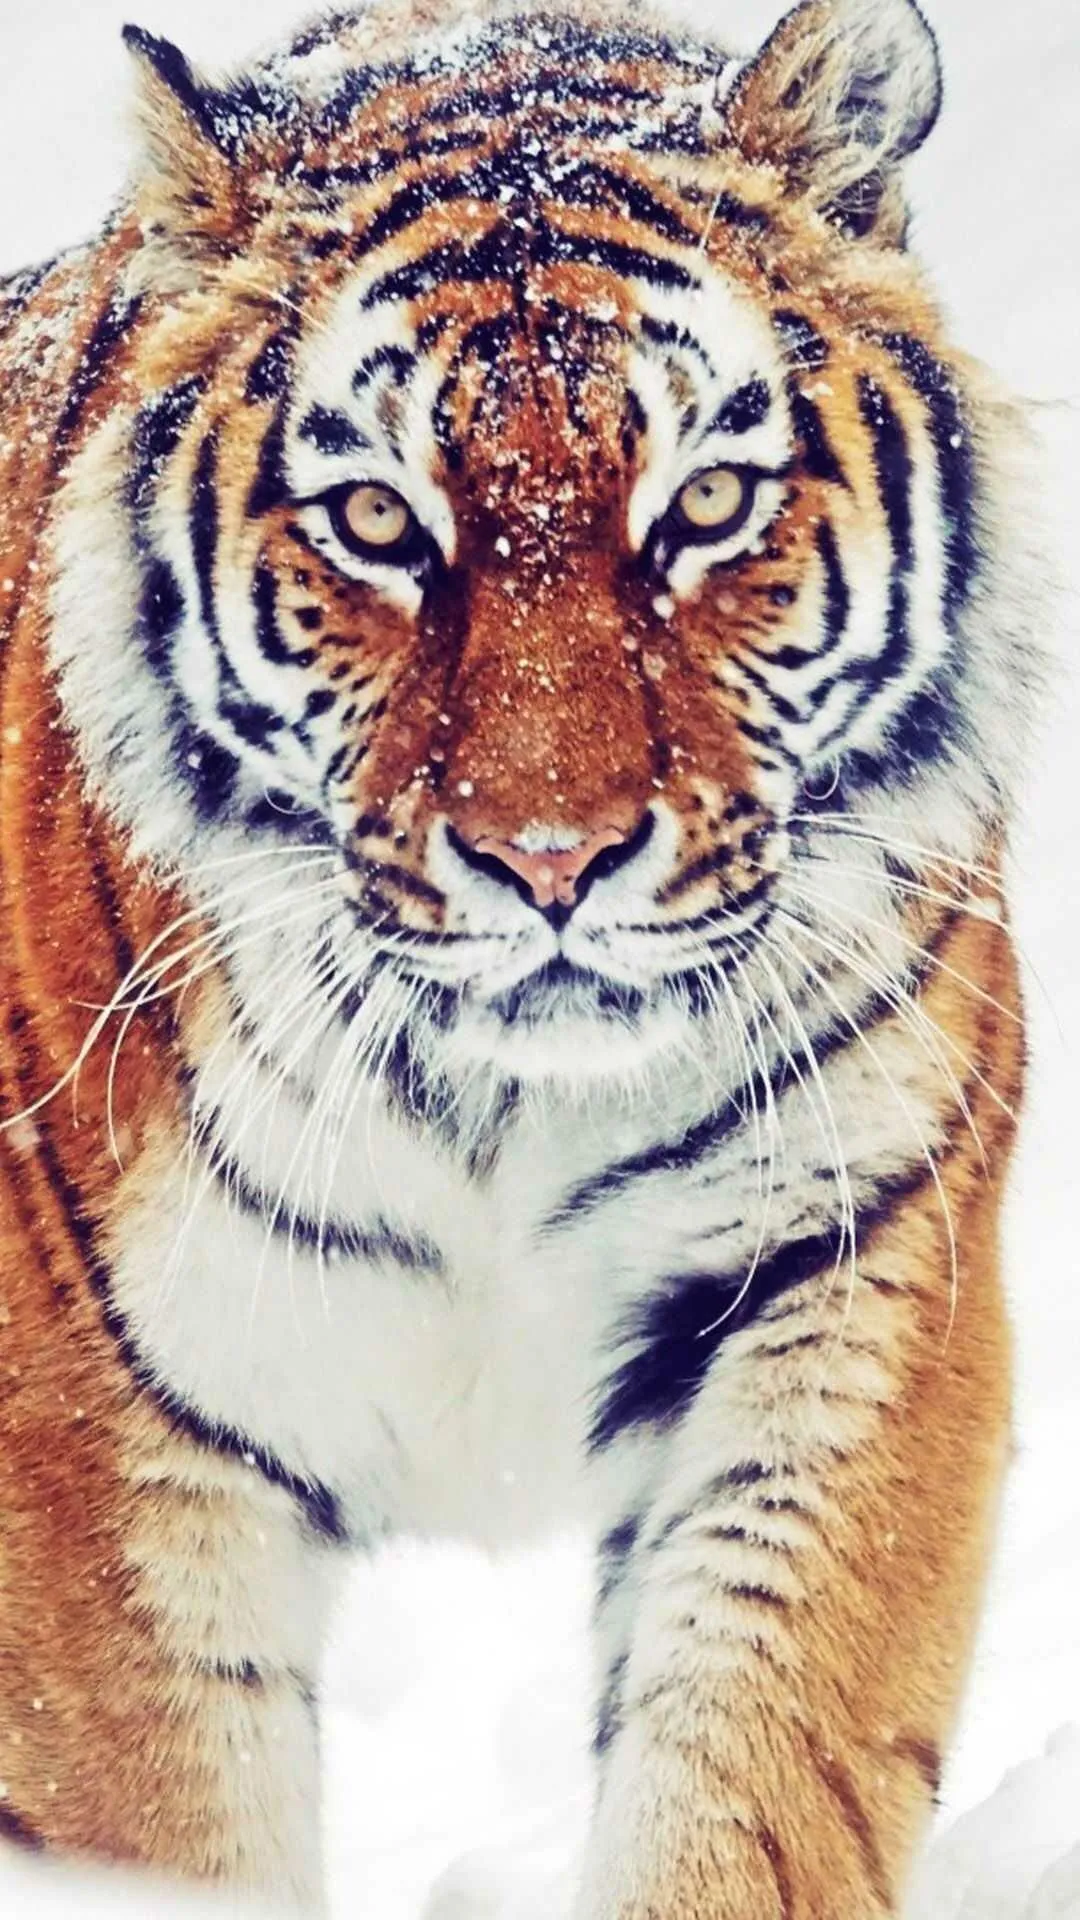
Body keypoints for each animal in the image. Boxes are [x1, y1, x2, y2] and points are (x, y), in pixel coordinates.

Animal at [0, 0, 1044, 1912]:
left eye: (706, 503)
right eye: (380, 525)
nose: (550, 861)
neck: (502, 1112)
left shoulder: (847, 1282)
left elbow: (750, 1785)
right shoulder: (95, 1437)